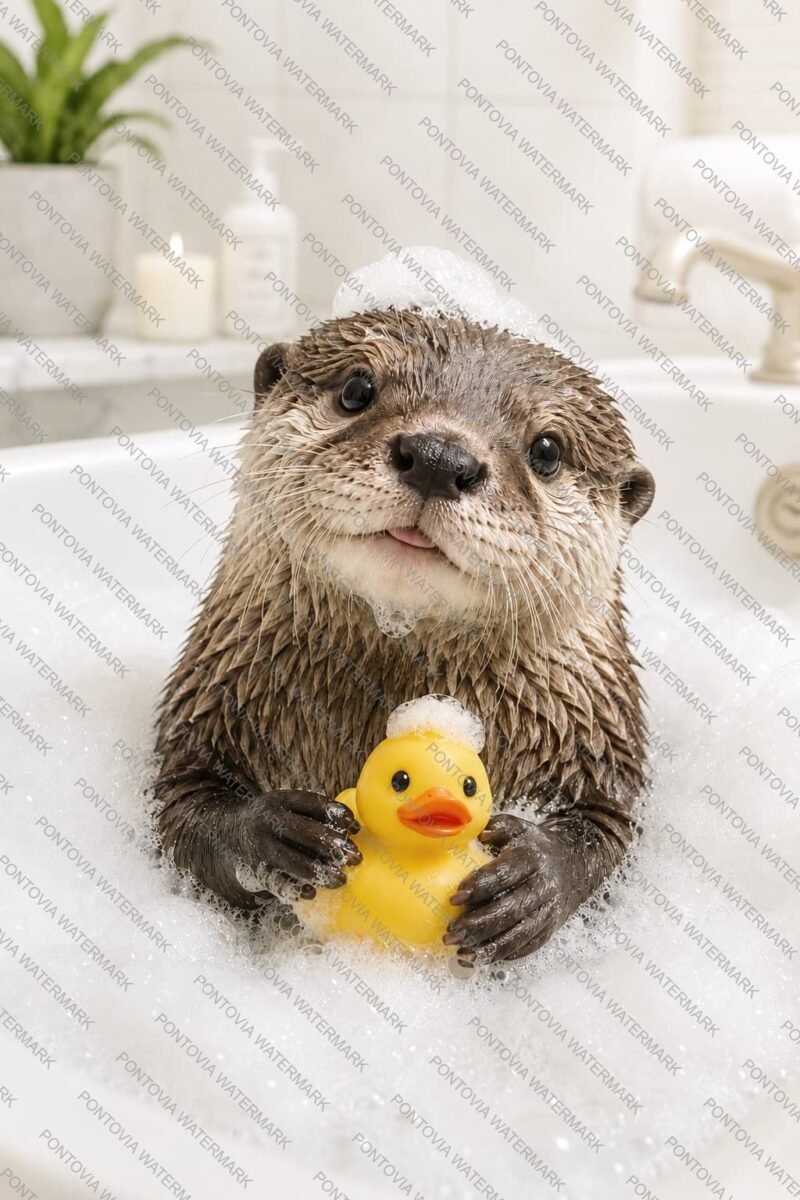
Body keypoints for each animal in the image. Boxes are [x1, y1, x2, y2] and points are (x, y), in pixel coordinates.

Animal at [154, 308, 654, 965]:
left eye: (547, 450)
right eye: (356, 389)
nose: (440, 457)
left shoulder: (597, 734)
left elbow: (608, 829)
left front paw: (534, 879)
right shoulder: (213, 695)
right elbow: (184, 805)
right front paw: (275, 835)